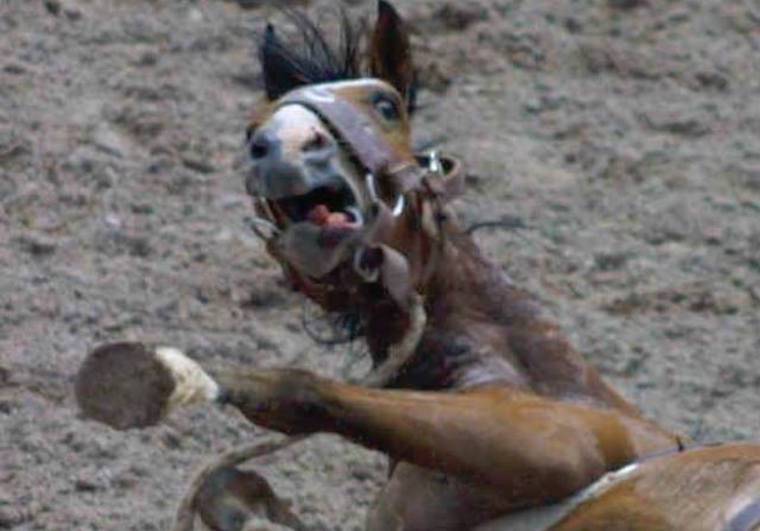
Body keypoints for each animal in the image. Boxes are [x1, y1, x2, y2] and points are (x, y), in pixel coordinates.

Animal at [76, 2, 760, 529]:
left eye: (384, 105)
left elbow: (302, 390)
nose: (281, 147)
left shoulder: (557, 441)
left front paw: (175, 377)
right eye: (252, 129)